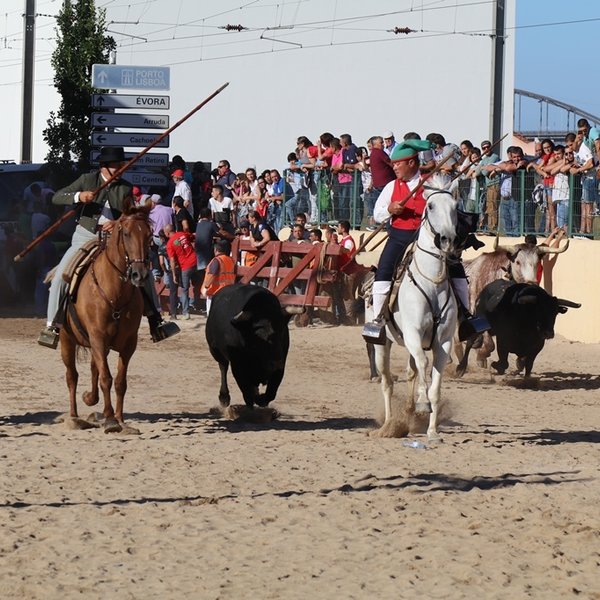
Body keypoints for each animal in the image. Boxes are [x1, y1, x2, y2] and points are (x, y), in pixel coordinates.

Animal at [60, 206, 152, 432]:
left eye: (149, 235)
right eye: (126, 233)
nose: (140, 275)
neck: (115, 293)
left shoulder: (128, 343)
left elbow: (120, 381)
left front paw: (119, 418)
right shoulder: (98, 338)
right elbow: (106, 378)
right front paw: (110, 419)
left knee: (94, 367)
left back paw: (90, 400)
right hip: (67, 339)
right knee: (71, 376)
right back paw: (74, 416)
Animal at [372, 175, 458, 440]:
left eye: (455, 207)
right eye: (430, 206)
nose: (447, 239)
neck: (433, 282)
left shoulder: (443, 341)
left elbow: (435, 385)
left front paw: (431, 429)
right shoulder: (412, 333)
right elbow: (423, 364)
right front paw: (422, 404)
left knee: (410, 372)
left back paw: (409, 412)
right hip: (382, 345)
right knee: (387, 382)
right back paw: (388, 424)